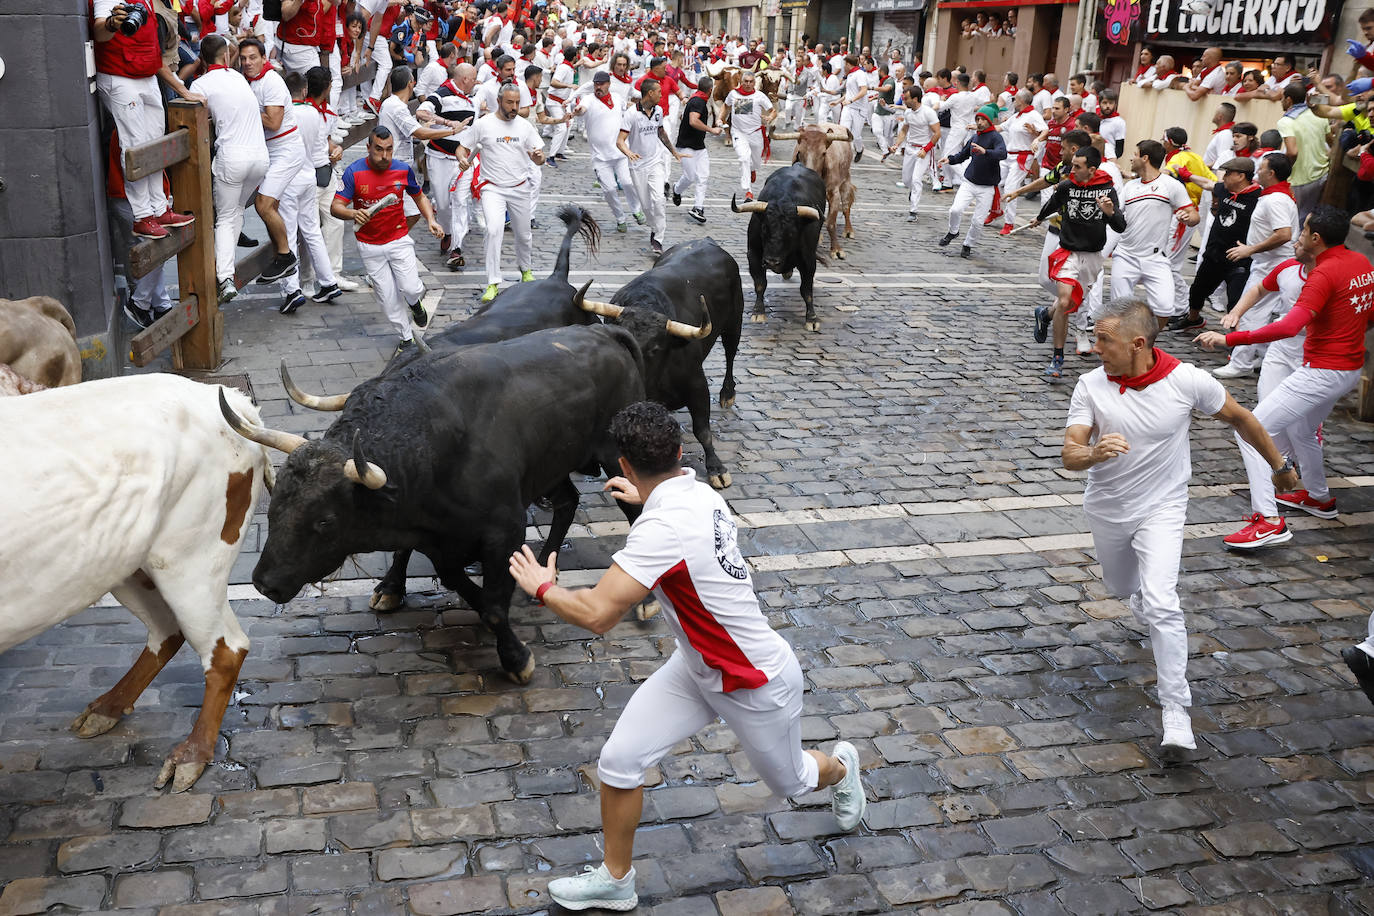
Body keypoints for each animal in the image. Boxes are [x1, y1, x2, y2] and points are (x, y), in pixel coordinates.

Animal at [218, 325, 643, 683]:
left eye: (325, 521)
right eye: (274, 503)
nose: (264, 582)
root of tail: (604, 332)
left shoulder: (505, 528)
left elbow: (493, 606)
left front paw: (516, 659)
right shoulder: (440, 543)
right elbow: (467, 589)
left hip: (615, 453)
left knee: (635, 508)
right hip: (551, 464)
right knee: (568, 501)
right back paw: (543, 568)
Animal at [736, 162, 818, 330]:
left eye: (792, 232)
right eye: (764, 228)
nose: (772, 262)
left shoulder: (809, 261)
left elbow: (806, 290)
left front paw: (812, 318)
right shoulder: (753, 254)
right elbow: (760, 284)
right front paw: (758, 312)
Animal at [769, 123, 851, 259]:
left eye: (823, 153)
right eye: (800, 152)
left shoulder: (834, 193)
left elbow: (831, 222)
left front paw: (836, 249)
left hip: (845, 182)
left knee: (846, 207)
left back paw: (849, 230)